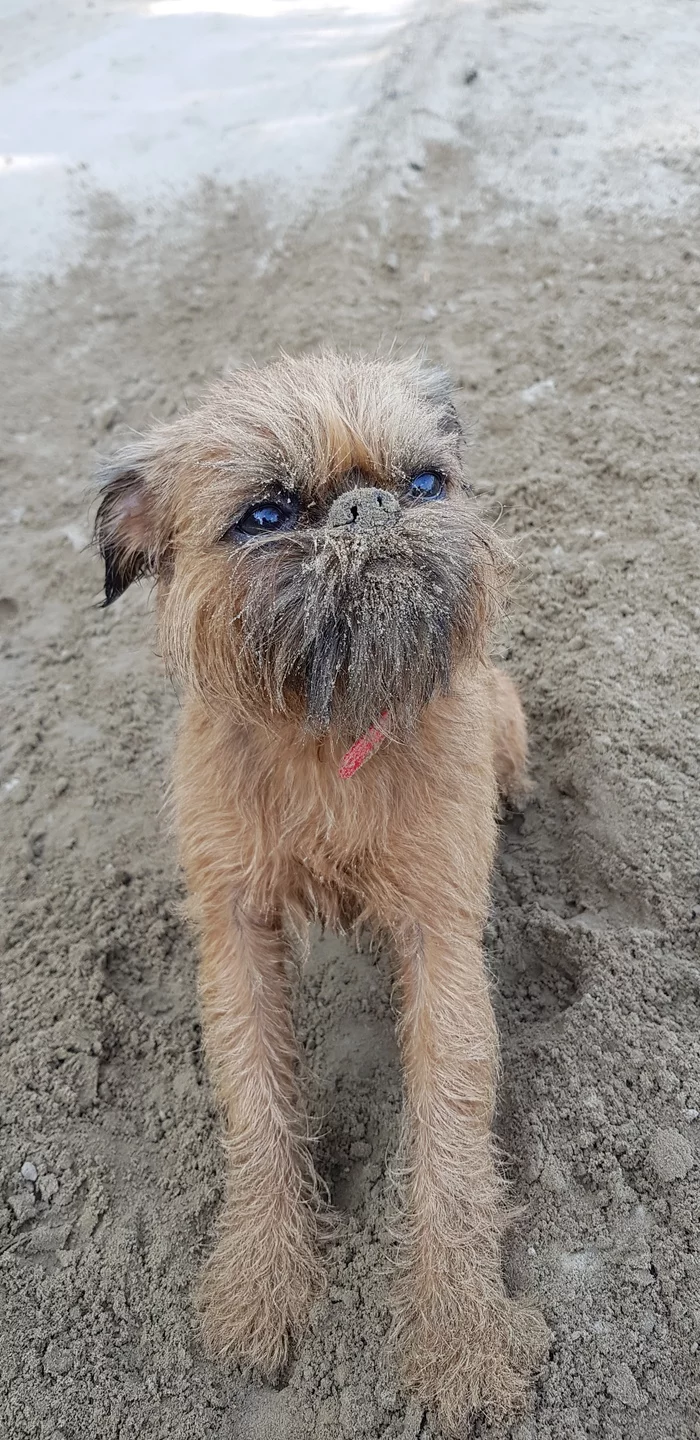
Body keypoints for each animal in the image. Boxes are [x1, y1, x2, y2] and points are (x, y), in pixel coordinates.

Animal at [95, 351, 547, 1428]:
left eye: (425, 482)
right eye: (264, 514)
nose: (368, 505)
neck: (322, 731)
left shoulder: (439, 940)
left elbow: (449, 1135)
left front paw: (462, 1339)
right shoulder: (237, 935)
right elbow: (257, 1105)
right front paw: (261, 1288)